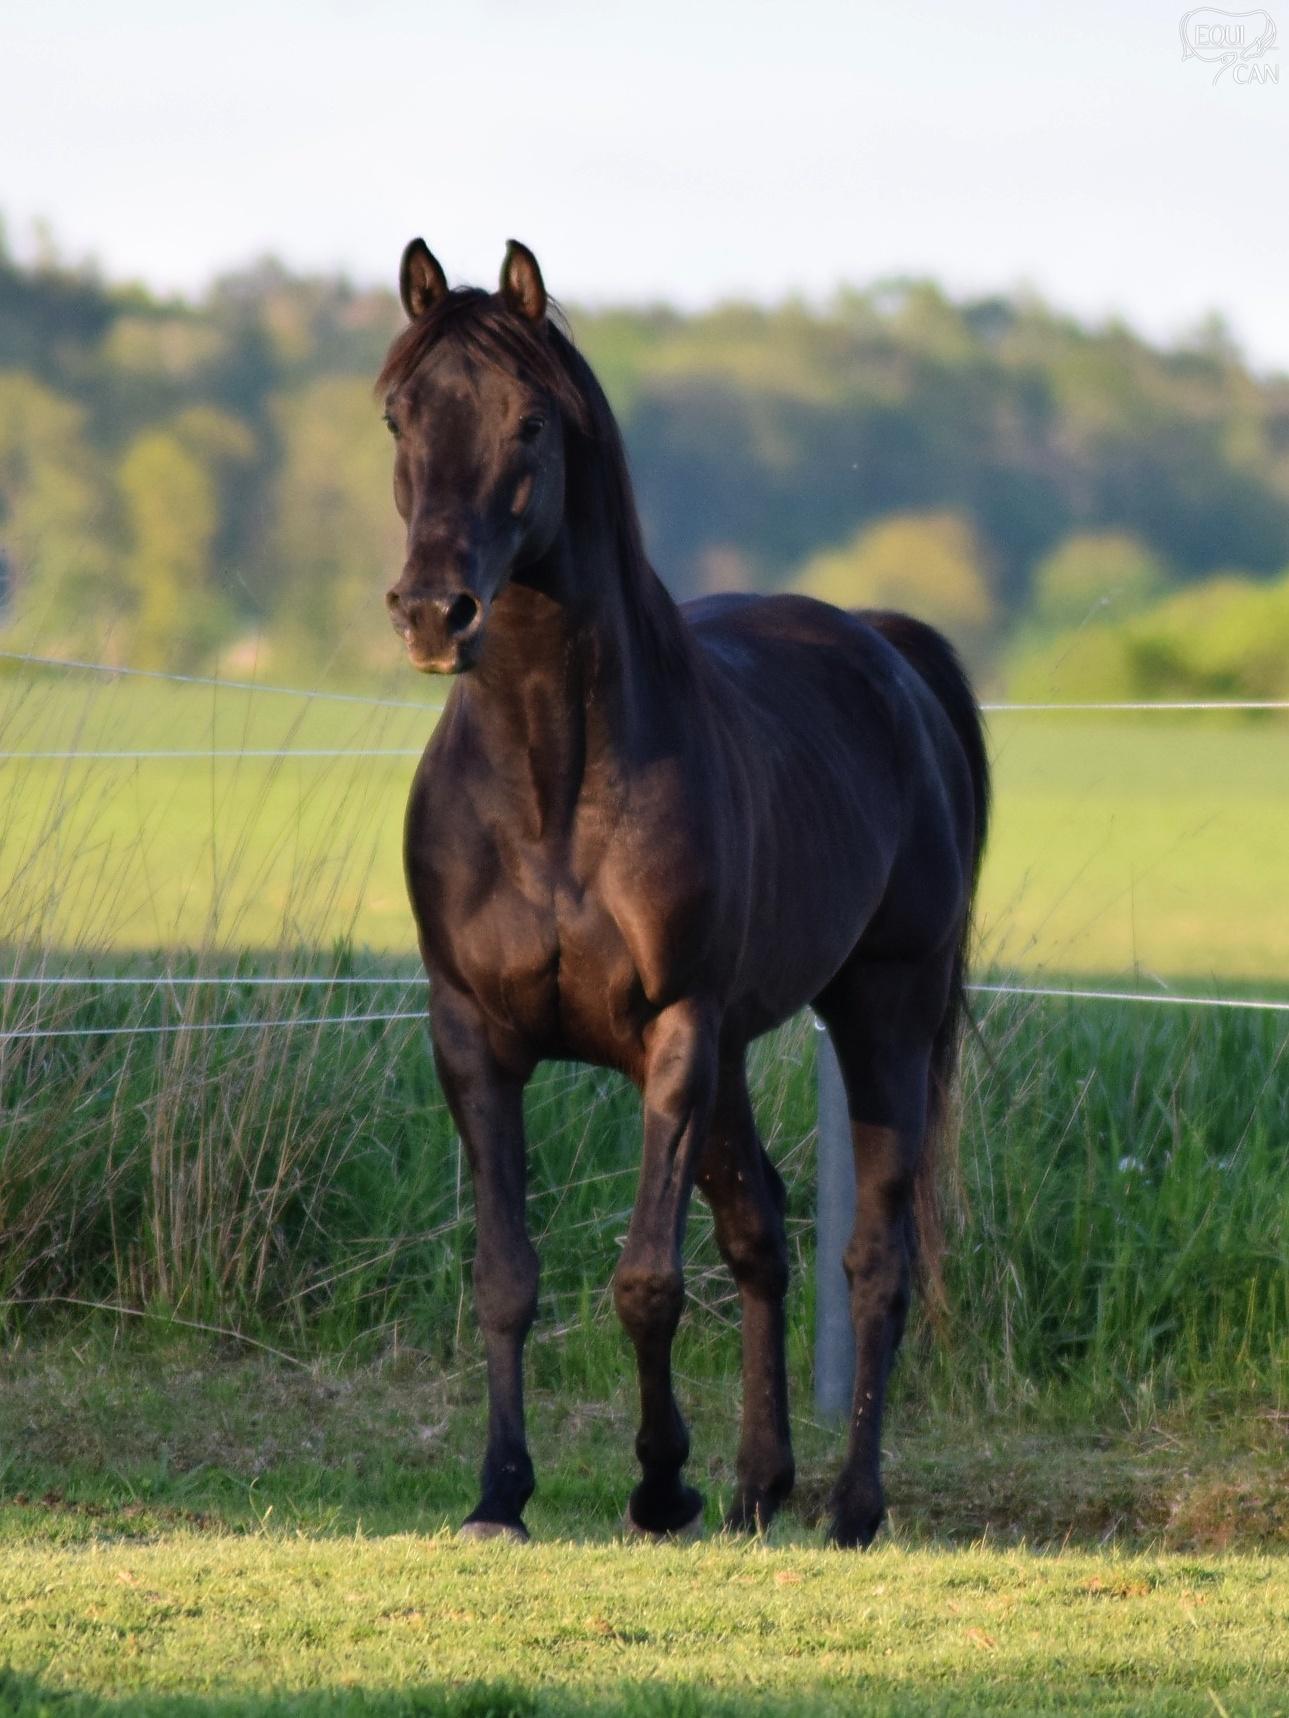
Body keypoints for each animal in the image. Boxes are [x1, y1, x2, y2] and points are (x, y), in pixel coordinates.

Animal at [378, 238, 989, 1548]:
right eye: (398, 413)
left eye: (528, 420)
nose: (433, 612)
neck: (552, 786)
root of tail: (883, 647)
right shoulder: (471, 1037)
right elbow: (506, 1277)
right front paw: (500, 1493)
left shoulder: (675, 1033)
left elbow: (646, 1281)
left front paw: (659, 1484)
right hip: (743, 1056)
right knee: (759, 1231)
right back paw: (761, 1483)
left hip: (882, 1012)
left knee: (874, 1256)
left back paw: (849, 1503)